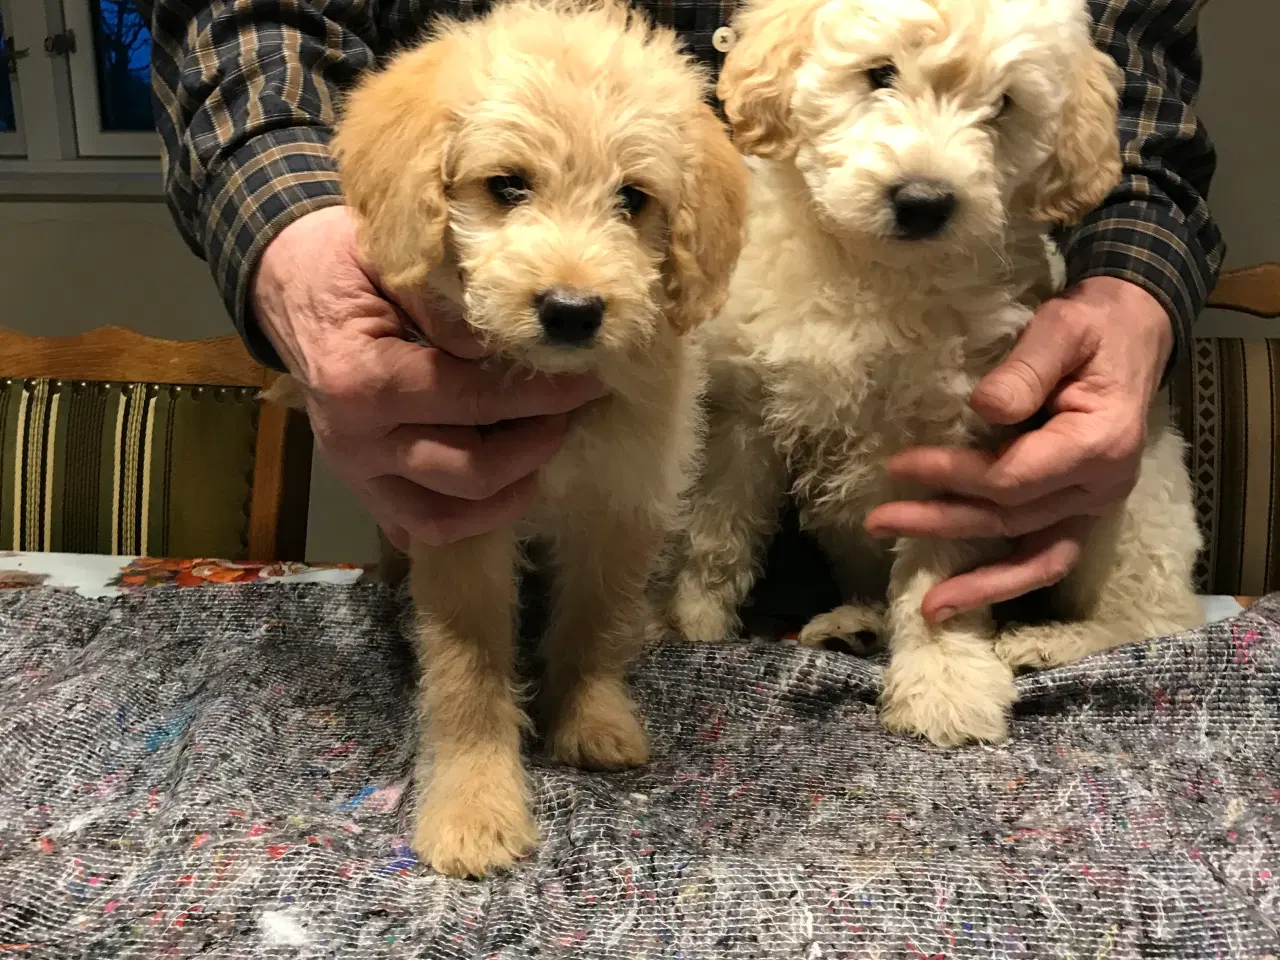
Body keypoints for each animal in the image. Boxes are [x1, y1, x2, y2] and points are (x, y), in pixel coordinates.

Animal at [270, 0, 747, 880]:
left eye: (634, 199)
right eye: (507, 186)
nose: (571, 309)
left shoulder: (622, 501)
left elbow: (595, 623)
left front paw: (589, 719)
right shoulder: (462, 512)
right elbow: (467, 674)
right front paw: (473, 806)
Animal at [665, 0, 1203, 742]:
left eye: (1003, 105)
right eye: (880, 74)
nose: (923, 201)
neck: (876, 272)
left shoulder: (957, 450)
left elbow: (938, 578)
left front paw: (944, 682)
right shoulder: (743, 415)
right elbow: (715, 532)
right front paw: (688, 625)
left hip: (1127, 512)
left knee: (1154, 619)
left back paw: (1052, 641)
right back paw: (854, 624)